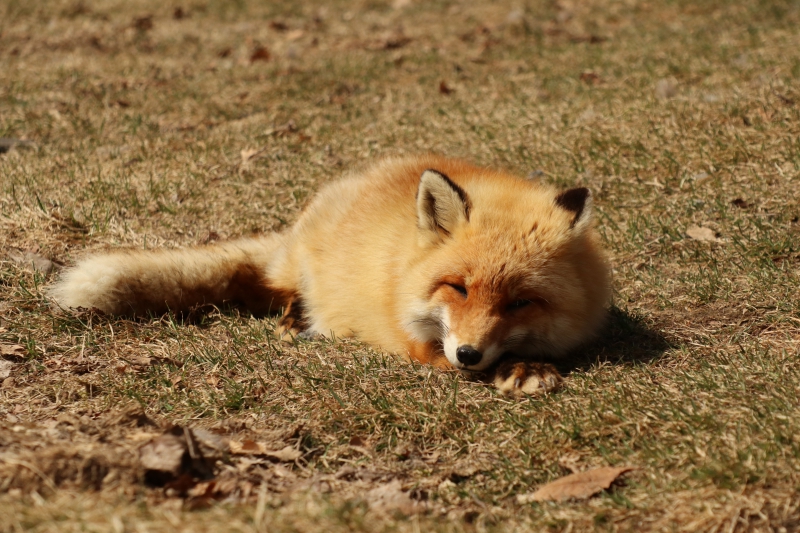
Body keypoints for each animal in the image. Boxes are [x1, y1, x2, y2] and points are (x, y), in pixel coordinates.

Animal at [50, 154, 608, 394]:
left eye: (519, 302)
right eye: (458, 288)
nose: (469, 352)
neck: (403, 268)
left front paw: (524, 364)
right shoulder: (415, 340)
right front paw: (518, 370)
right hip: (299, 271)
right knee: (277, 291)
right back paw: (298, 321)